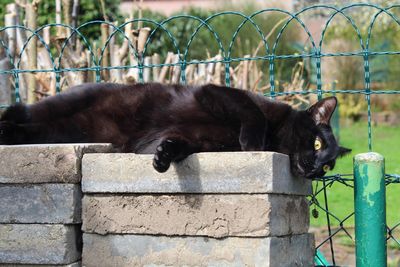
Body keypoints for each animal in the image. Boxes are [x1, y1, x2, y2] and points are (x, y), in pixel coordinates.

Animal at [0, 83, 350, 180]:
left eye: (330, 164)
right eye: (316, 144)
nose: (316, 170)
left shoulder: (203, 143)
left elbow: (183, 146)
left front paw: (164, 156)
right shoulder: (215, 92)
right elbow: (252, 113)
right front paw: (254, 142)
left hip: (68, 129)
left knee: (32, 130)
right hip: (61, 108)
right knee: (24, 113)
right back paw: (6, 122)